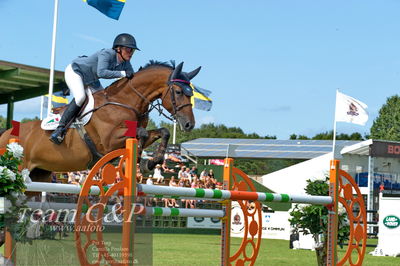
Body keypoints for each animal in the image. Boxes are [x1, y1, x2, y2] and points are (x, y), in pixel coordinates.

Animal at [0, 60, 200, 183]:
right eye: (179, 92)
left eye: (191, 93)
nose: (189, 124)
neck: (126, 101)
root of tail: (5, 133)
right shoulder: (108, 142)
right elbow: (141, 134)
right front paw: (140, 159)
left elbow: (163, 132)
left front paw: (149, 162)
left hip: (39, 173)